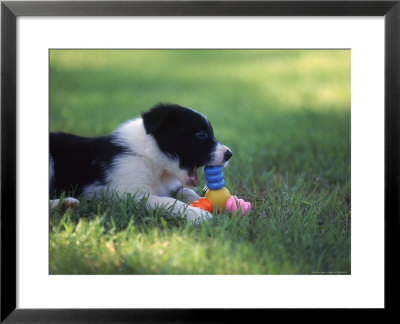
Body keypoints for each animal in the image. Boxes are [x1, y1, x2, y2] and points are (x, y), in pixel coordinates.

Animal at [49, 104, 231, 223]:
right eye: (201, 134)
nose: (229, 154)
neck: (149, 157)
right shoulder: (129, 195)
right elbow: (166, 201)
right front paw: (198, 214)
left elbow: (186, 191)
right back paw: (65, 203)